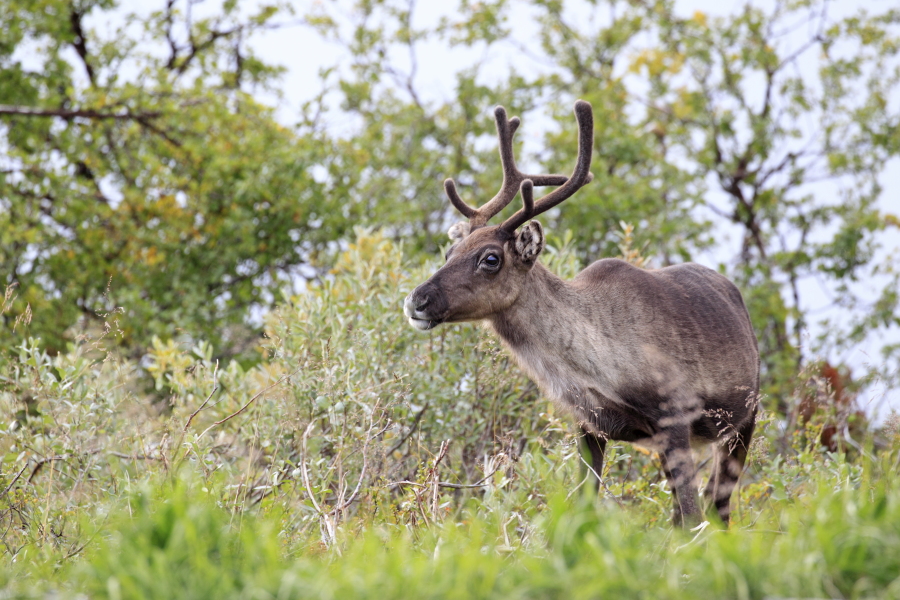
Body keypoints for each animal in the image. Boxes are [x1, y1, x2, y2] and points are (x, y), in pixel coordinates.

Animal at [403, 100, 760, 527]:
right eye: (449, 251)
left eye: (490, 258)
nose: (417, 300)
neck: (595, 367)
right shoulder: (590, 426)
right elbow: (583, 508)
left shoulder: (674, 417)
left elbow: (691, 518)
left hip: (745, 417)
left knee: (717, 509)